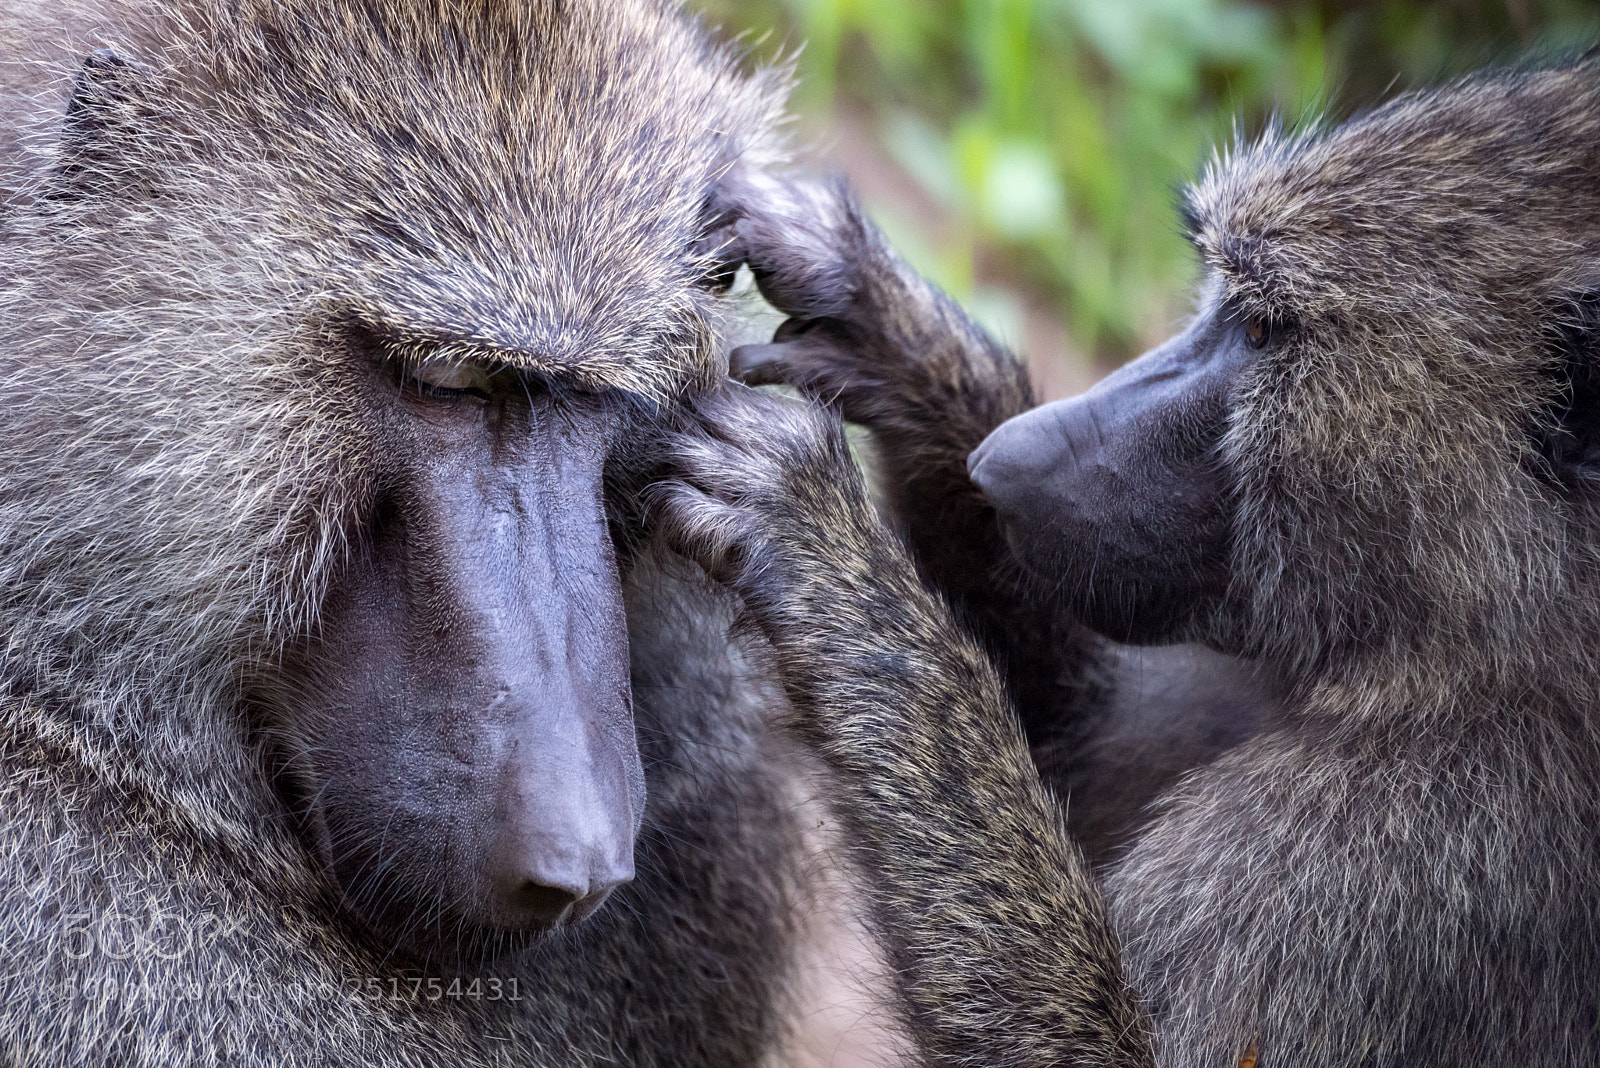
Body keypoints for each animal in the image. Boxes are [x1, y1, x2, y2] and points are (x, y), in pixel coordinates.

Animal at [661, 58, 1600, 1066]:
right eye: (1225, 306)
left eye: (1263, 332)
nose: (1003, 463)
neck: (1493, 644)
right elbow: (1080, 738)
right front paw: (884, 320)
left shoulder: (1433, 841)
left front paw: (816, 536)